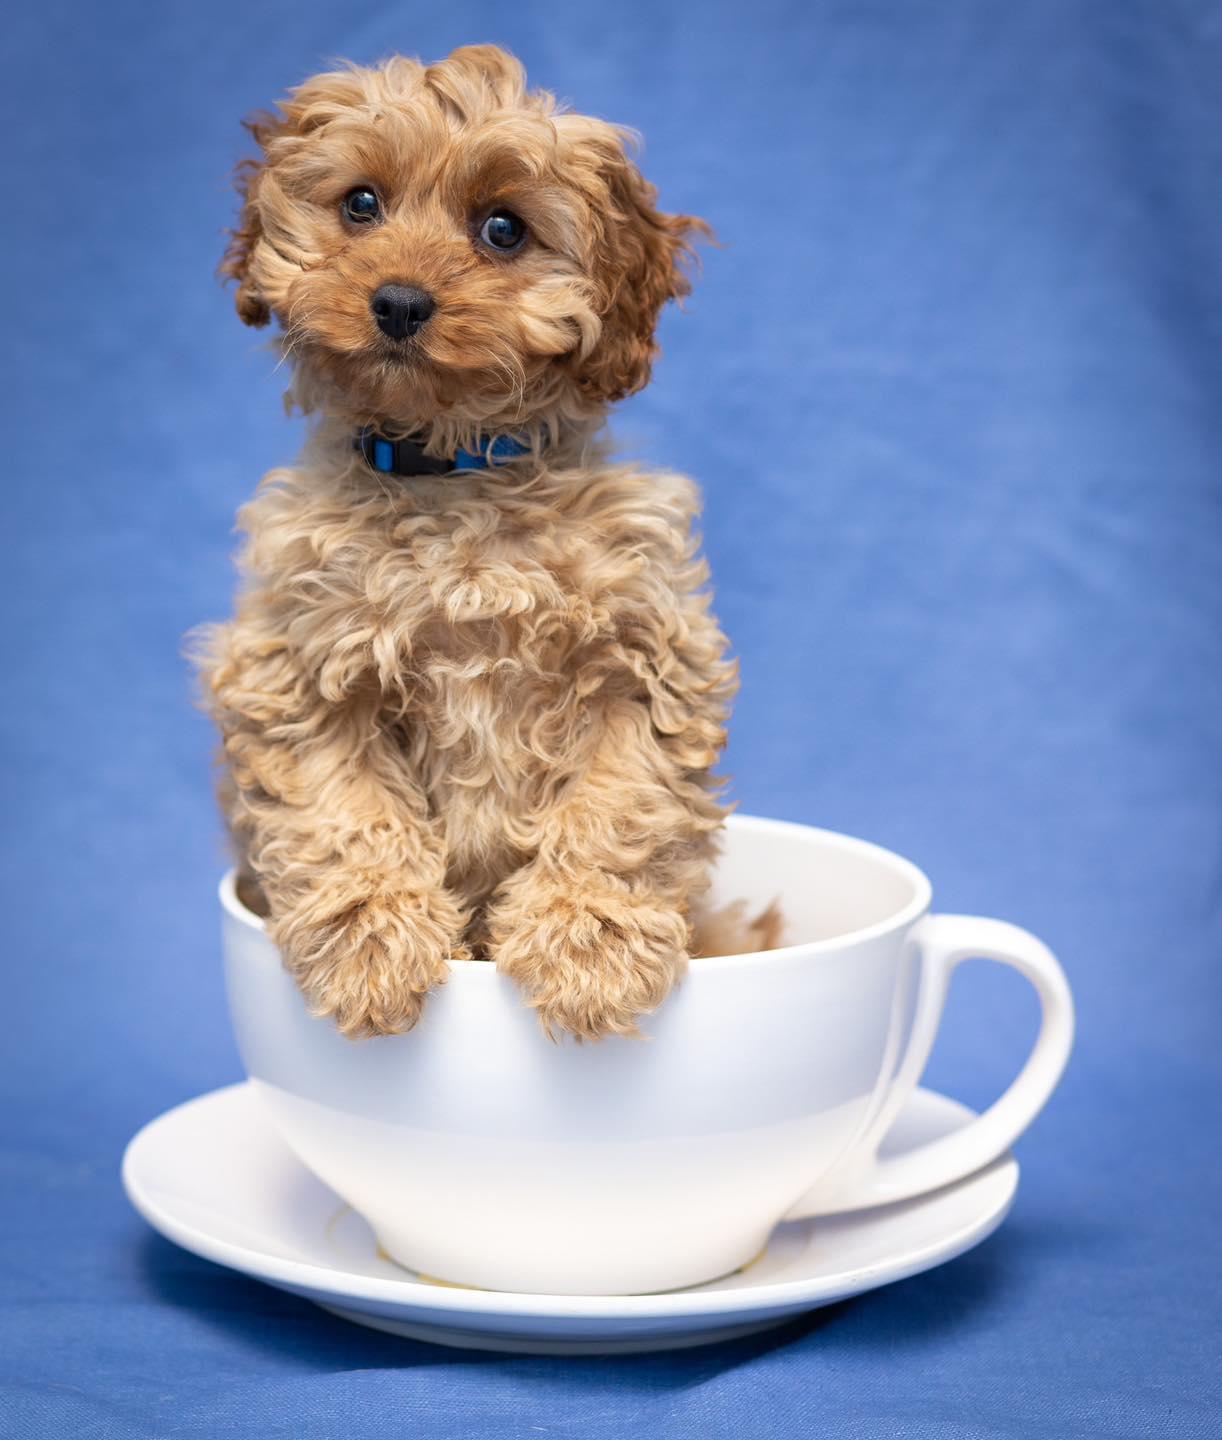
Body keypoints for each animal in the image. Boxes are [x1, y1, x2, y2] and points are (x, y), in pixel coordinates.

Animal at [195, 45, 777, 1036]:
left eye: (504, 229)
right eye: (360, 204)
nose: (398, 302)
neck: (454, 476)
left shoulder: (647, 659)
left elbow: (618, 805)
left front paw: (590, 942)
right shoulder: (296, 665)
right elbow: (344, 807)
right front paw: (372, 941)